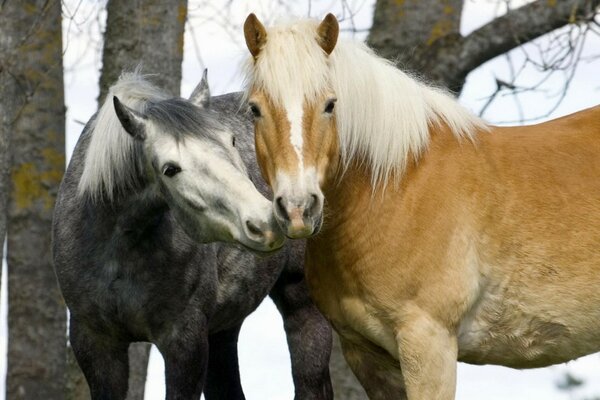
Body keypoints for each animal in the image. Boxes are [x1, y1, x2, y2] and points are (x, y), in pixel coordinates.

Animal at [51, 70, 332, 398]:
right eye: (170, 169)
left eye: (231, 141)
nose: (266, 223)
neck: (118, 248)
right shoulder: (95, 343)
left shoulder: (185, 341)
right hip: (224, 328)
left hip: (302, 305)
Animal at [241, 12, 600, 400]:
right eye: (255, 109)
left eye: (330, 104)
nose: (298, 208)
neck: (397, 186)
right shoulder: (367, 355)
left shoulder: (428, 342)